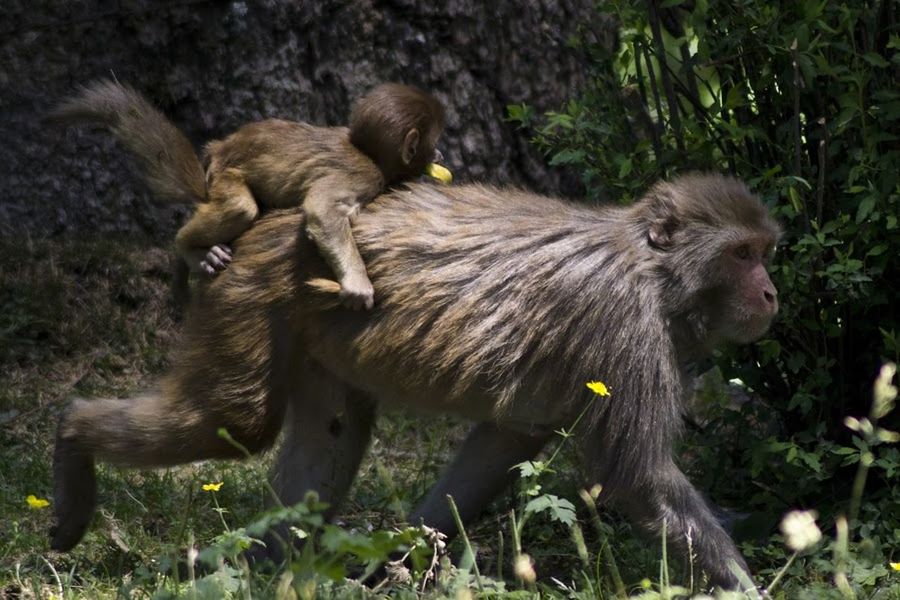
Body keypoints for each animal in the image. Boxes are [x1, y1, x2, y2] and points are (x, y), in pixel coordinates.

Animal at [49, 79, 446, 310]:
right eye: (433, 143)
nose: (440, 154)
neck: (368, 152)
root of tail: (219, 149)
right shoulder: (364, 176)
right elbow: (321, 212)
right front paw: (357, 283)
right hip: (227, 178)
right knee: (241, 207)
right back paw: (190, 248)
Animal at [51, 169, 780, 592]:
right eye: (742, 254)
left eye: (764, 251)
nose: (771, 291)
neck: (650, 269)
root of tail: (267, 223)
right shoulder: (623, 323)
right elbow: (637, 477)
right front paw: (747, 587)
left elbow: (508, 439)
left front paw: (397, 559)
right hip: (251, 295)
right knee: (234, 421)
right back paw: (73, 437)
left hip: (311, 327)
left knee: (332, 434)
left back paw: (275, 562)